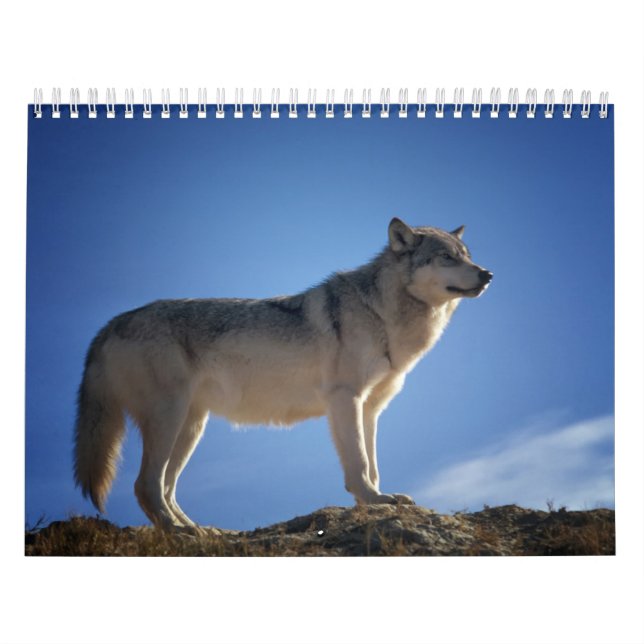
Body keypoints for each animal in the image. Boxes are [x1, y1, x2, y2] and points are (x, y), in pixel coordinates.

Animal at [74, 217, 492, 532]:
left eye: (467, 256)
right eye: (446, 258)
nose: (487, 274)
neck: (382, 314)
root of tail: (110, 324)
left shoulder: (371, 409)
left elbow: (372, 464)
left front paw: (376, 500)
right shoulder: (345, 399)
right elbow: (358, 463)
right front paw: (373, 500)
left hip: (191, 427)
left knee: (165, 487)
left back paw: (198, 530)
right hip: (170, 419)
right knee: (146, 485)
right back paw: (179, 532)